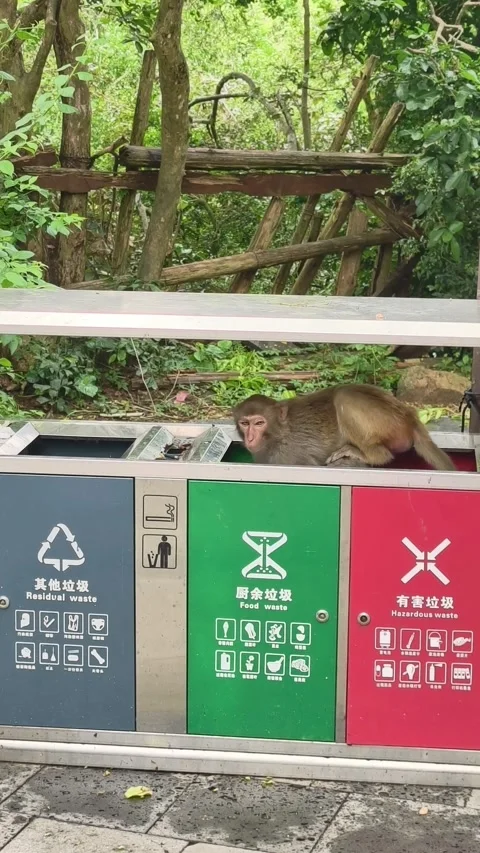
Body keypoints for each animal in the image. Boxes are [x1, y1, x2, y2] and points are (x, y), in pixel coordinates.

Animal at [233, 384, 457, 471]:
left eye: (259, 423)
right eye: (245, 423)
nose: (250, 438)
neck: (278, 434)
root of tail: (409, 416)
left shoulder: (286, 457)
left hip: (389, 423)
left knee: (344, 395)